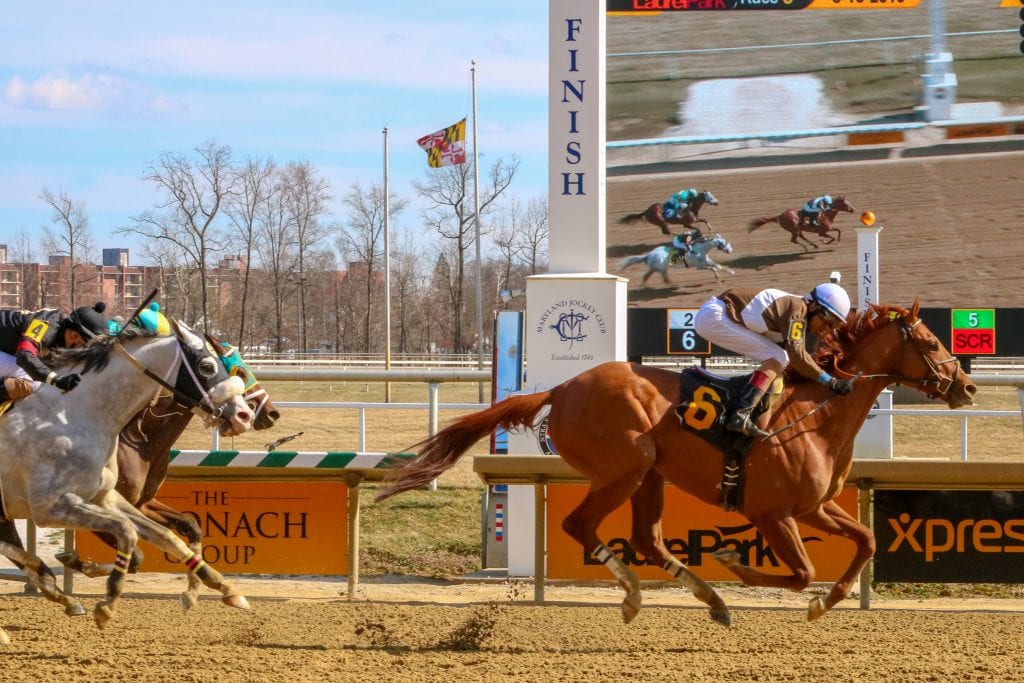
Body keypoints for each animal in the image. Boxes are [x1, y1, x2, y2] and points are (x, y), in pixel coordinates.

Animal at [0, 321, 254, 643]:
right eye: (207, 365)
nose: (245, 415)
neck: (74, 416)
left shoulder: (105, 497)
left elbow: (164, 535)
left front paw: (226, 590)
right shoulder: (51, 508)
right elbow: (128, 534)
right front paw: (106, 604)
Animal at [378, 301, 974, 626]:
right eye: (928, 341)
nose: (966, 386)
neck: (816, 412)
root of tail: (562, 388)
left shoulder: (814, 508)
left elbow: (866, 542)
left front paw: (828, 601)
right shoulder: (772, 513)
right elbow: (801, 570)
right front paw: (737, 562)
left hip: (650, 476)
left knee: (646, 539)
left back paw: (708, 600)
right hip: (627, 465)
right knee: (580, 524)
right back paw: (638, 594)